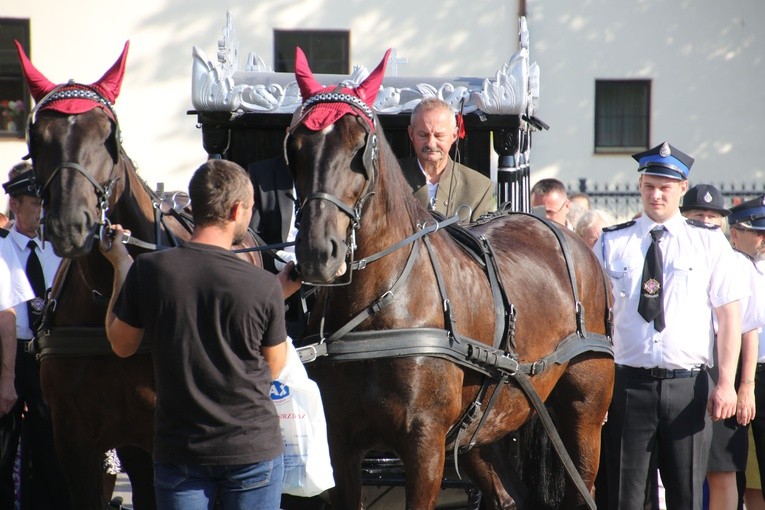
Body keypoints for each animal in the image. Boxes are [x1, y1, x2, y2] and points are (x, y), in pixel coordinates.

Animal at [14, 42, 262, 506]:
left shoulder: (161, 434)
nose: (69, 224)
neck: (107, 299)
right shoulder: (73, 440)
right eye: (37, 140)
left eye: (108, 136)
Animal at [286, 48, 616, 510]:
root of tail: (566, 235)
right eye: (296, 145)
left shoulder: (424, 446)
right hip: (486, 424)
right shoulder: (341, 446)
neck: (382, 305)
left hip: (584, 411)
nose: (318, 251)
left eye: (359, 147)